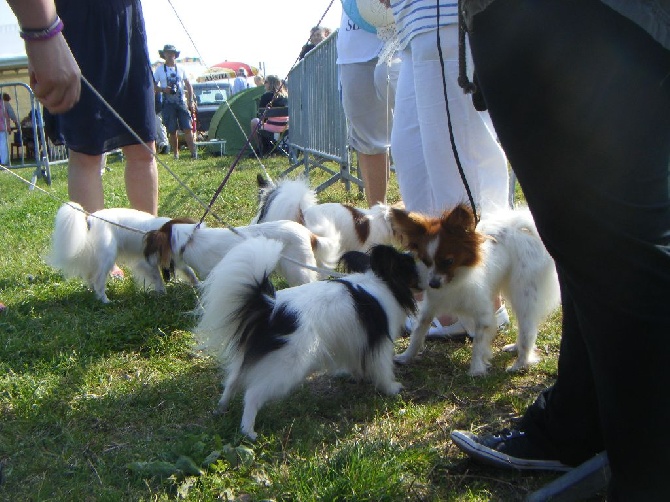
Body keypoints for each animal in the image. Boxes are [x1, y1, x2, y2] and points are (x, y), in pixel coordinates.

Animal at [48, 202, 198, 304]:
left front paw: (197, 285)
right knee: (98, 280)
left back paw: (92, 291)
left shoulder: (175, 261)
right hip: (108, 256)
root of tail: (89, 219)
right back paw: (105, 300)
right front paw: (163, 293)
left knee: (90, 276)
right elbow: (158, 279)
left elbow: (189, 272)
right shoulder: (146, 263)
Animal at [194, 237, 422, 438]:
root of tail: (270, 307)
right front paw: (392, 388)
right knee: (252, 394)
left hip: (249, 357)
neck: (381, 282)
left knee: (232, 381)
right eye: (410, 267)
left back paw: (221, 409)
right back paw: (248, 432)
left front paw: (353, 375)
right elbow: (383, 369)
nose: (427, 278)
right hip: (288, 366)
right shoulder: (379, 343)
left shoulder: (352, 339)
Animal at [392, 202, 564, 374]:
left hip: (523, 295)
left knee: (527, 332)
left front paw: (476, 370)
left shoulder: (483, 313)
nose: (433, 284)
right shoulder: (431, 306)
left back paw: (520, 364)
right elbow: (418, 332)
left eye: (448, 261)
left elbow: (479, 343)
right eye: (426, 261)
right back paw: (515, 348)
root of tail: (523, 229)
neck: (455, 280)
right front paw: (406, 356)